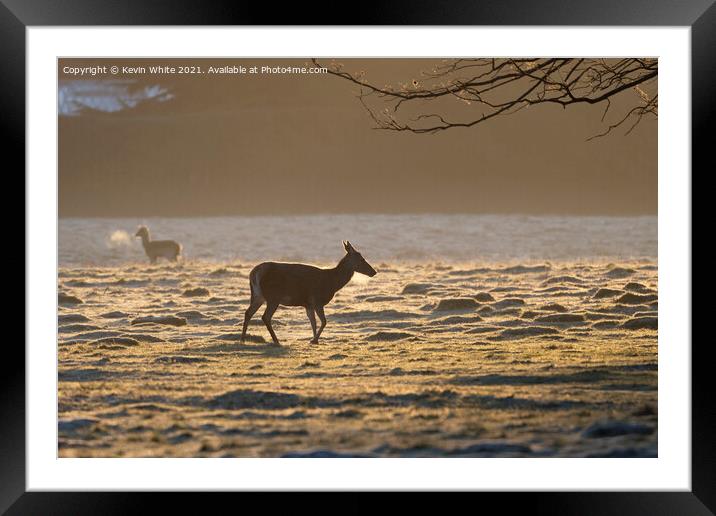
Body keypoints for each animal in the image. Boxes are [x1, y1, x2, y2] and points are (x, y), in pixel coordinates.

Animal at [239, 241, 378, 346]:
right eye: (361, 258)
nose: (374, 271)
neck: (332, 282)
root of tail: (254, 273)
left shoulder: (308, 304)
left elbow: (313, 322)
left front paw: (314, 340)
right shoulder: (317, 300)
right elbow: (324, 321)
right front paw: (314, 340)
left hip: (258, 295)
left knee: (248, 313)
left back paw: (243, 340)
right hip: (273, 297)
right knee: (265, 316)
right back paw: (276, 341)